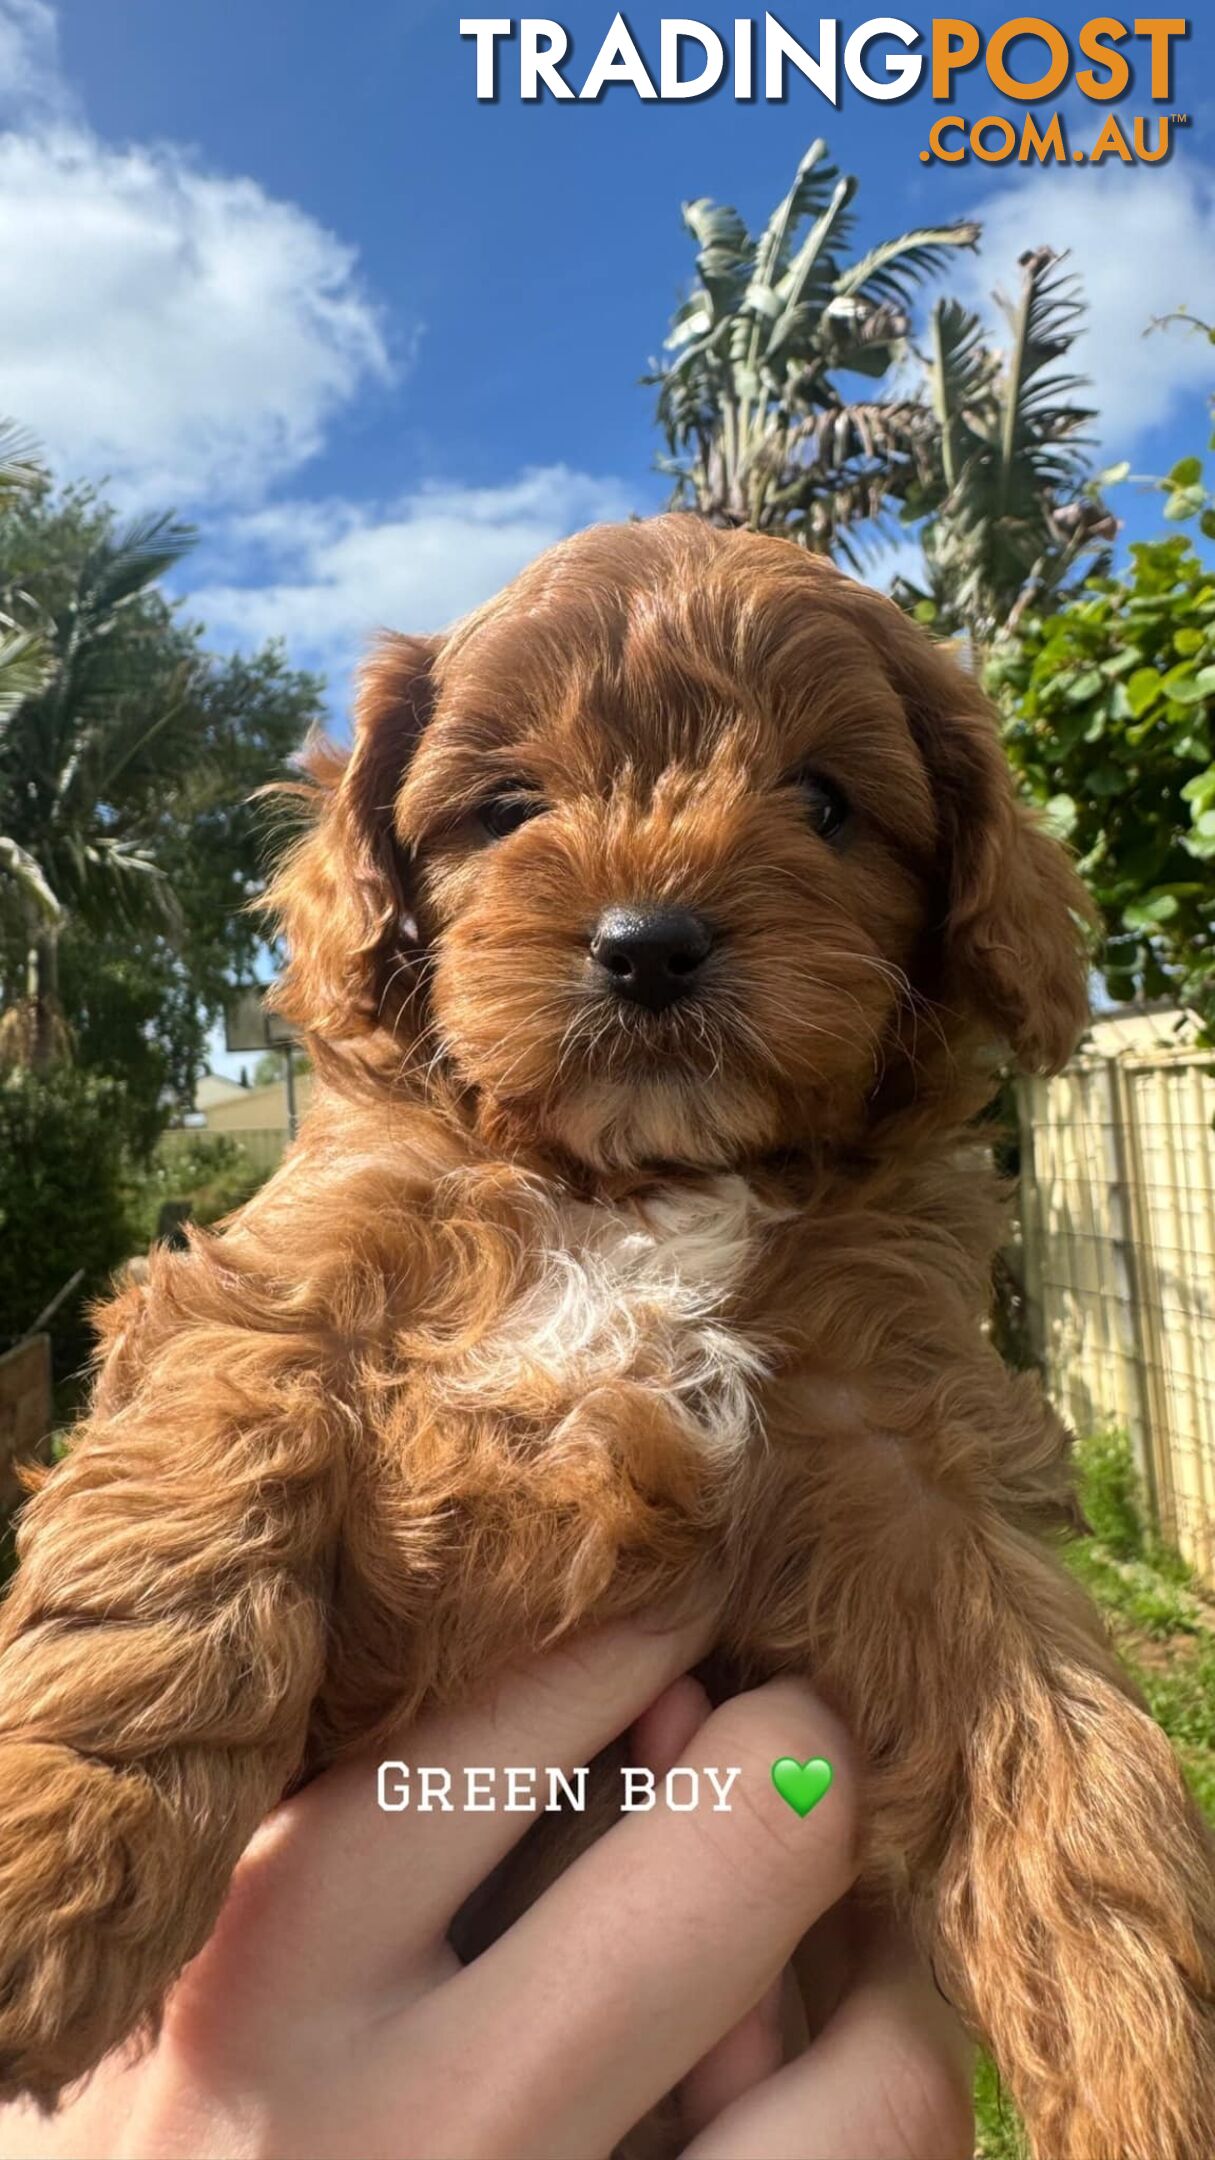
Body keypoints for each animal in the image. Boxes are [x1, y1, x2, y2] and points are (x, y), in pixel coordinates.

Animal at [2, 514, 1210, 2151]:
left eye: (824, 802)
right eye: (507, 809)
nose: (649, 944)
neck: (630, 1187)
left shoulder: (898, 1446)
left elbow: (1071, 1750)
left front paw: (1151, 2061)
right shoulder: (273, 1282)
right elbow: (190, 1501)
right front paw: (55, 1849)